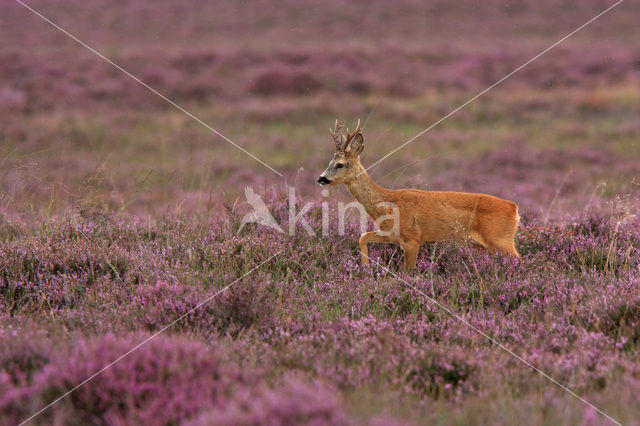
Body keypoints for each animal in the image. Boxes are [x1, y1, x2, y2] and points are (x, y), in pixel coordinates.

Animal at [316, 119, 520, 270]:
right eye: (329, 162)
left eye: (340, 164)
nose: (321, 178)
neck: (387, 203)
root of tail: (514, 208)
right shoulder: (392, 235)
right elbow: (363, 236)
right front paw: (365, 266)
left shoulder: (412, 238)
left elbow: (408, 271)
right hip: (485, 244)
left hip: (501, 239)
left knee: (519, 259)